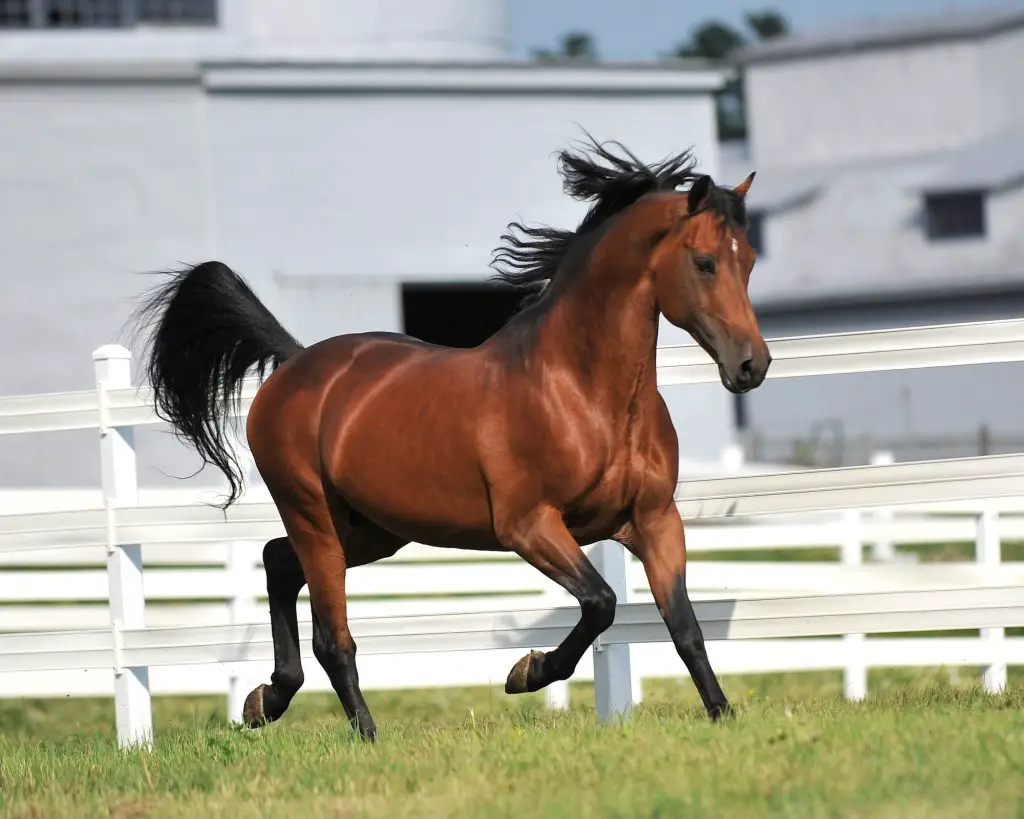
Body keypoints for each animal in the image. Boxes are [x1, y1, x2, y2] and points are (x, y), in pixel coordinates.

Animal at [129, 136, 769, 742]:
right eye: (705, 262)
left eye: (751, 262)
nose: (751, 366)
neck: (584, 392)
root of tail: (294, 363)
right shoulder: (529, 526)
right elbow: (601, 603)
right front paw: (527, 672)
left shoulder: (654, 520)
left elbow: (684, 627)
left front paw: (722, 716)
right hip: (314, 517)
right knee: (333, 637)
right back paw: (364, 735)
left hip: (373, 531)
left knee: (277, 562)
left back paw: (266, 699)